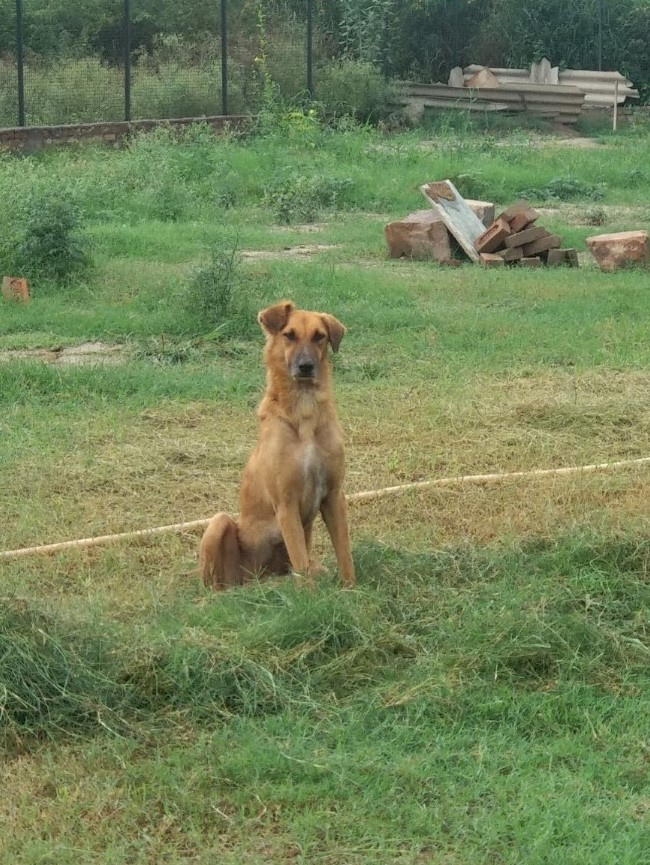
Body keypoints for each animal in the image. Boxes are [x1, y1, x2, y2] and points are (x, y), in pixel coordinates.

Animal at [200, 300, 354, 592]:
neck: (305, 412)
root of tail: (258, 580)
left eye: (319, 336)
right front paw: (311, 599)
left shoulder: (334, 496)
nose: (306, 366)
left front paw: (351, 590)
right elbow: (301, 563)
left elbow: (344, 553)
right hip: (219, 523)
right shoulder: (286, 504)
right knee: (214, 585)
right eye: (289, 335)